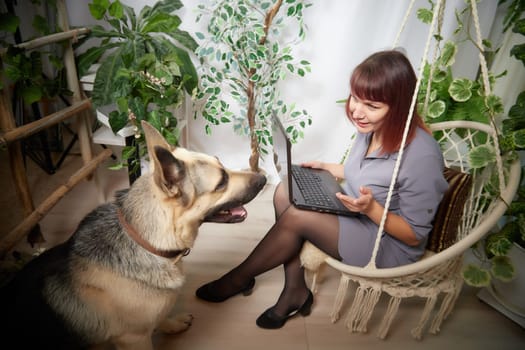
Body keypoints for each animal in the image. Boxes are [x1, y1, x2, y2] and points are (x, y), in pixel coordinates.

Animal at [1, 119, 266, 348]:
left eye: (222, 164)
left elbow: (160, 318)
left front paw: (171, 323)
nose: (264, 178)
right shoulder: (134, 338)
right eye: (221, 182)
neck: (145, 241)